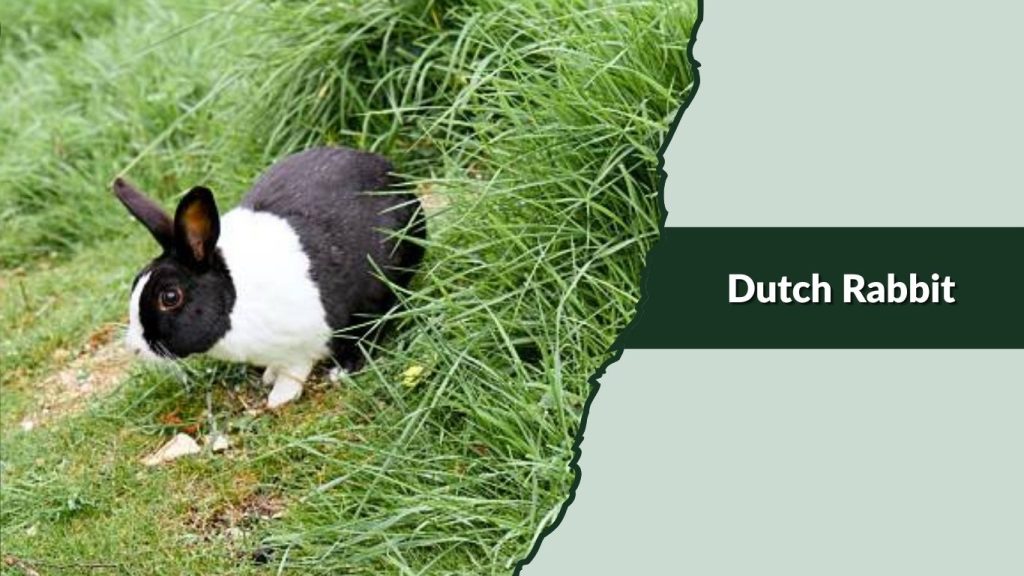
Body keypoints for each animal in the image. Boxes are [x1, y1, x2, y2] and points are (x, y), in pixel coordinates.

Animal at [115, 146, 425, 409]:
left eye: (170, 297)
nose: (134, 348)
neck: (235, 299)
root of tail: (396, 177)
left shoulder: (303, 342)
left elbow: (295, 369)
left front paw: (279, 396)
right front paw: (270, 376)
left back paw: (342, 370)